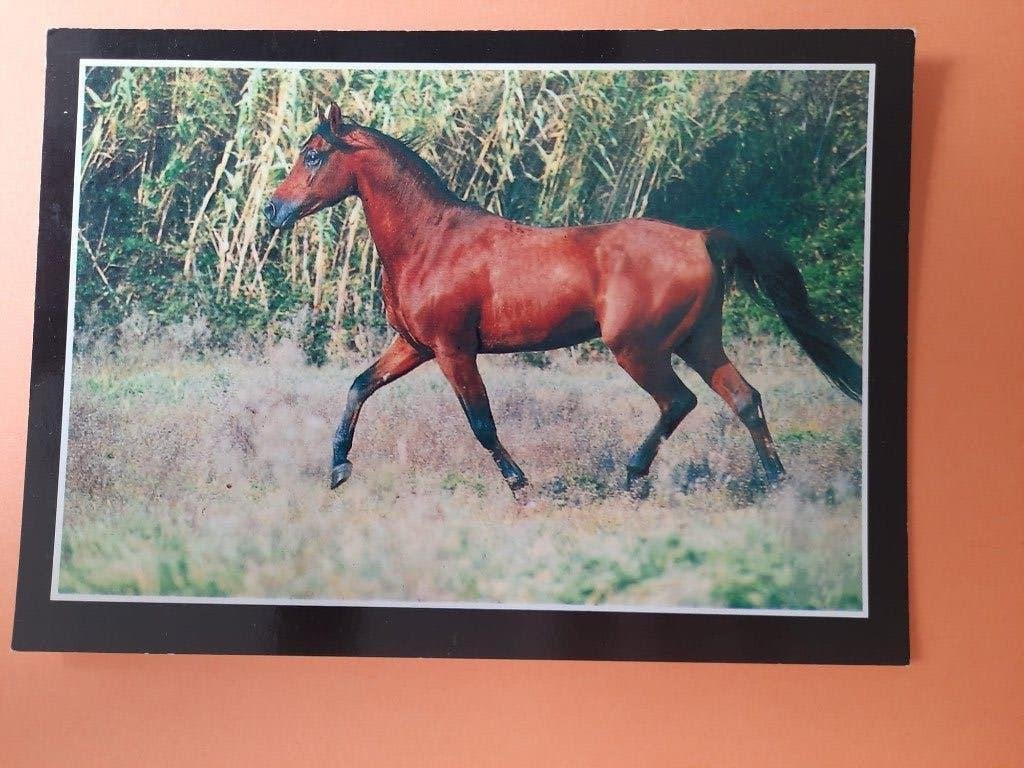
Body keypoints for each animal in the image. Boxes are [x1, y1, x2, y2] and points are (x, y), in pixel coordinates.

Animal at [265, 103, 862, 496]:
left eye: (314, 155)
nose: (273, 209)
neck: (430, 242)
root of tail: (701, 238)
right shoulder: (413, 345)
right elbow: (358, 386)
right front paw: (338, 469)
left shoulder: (454, 350)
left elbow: (481, 422)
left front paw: (519, 483)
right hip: (698, 340)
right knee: (744, 399)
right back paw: (776, 482)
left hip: (638, 348)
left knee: (679, 401)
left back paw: (633, 475)